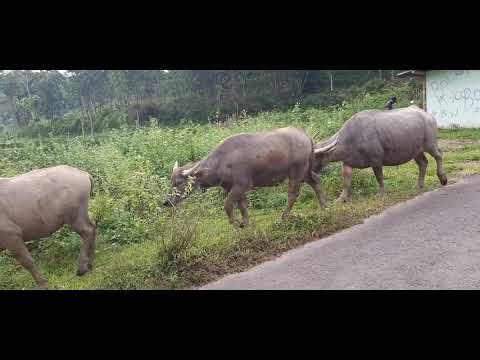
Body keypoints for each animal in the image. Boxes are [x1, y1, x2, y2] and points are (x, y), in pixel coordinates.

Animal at [164, 128, 326, 226]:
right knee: (316, 181)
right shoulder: (233, 188)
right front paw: (246, 224)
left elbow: (227, 205)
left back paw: (283, 217)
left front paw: (237, 224)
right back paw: (324, 205)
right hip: (305, 171)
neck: (221, 162)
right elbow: (242, 206)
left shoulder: (242, 185)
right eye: (171, 182)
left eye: (179, 183)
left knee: (293, 193)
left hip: (296, 171)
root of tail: (305, 135)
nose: (167, 202)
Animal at [314, 105, 448, 202]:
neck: (352, 138)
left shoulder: (376, 161)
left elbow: (379, 177)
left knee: (439, 155)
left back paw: (443, 178)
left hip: (430, 144)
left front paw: (381, 193)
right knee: (423, 163)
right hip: (416, 151)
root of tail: (427, 115)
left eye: (312, 157)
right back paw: (419, 185)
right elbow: (346, 182)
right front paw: (341, 199)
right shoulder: (347, 163)